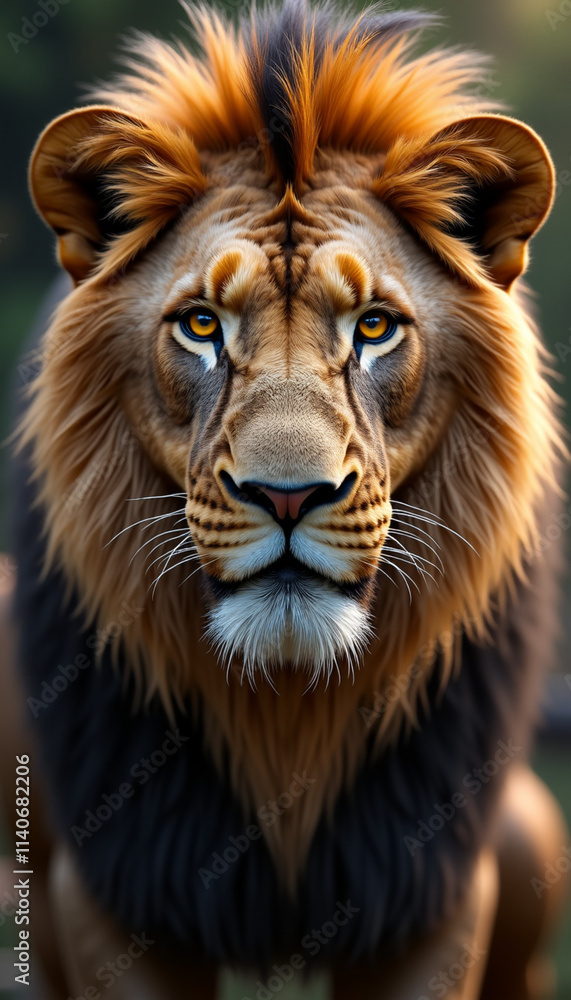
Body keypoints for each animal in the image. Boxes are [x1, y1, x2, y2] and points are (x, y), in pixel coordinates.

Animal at [2, 1, 569, 997]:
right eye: (201, 325)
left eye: (374, 327)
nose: (288, 496)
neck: (287, 708)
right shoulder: (114, 884)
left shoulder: (428, 888)